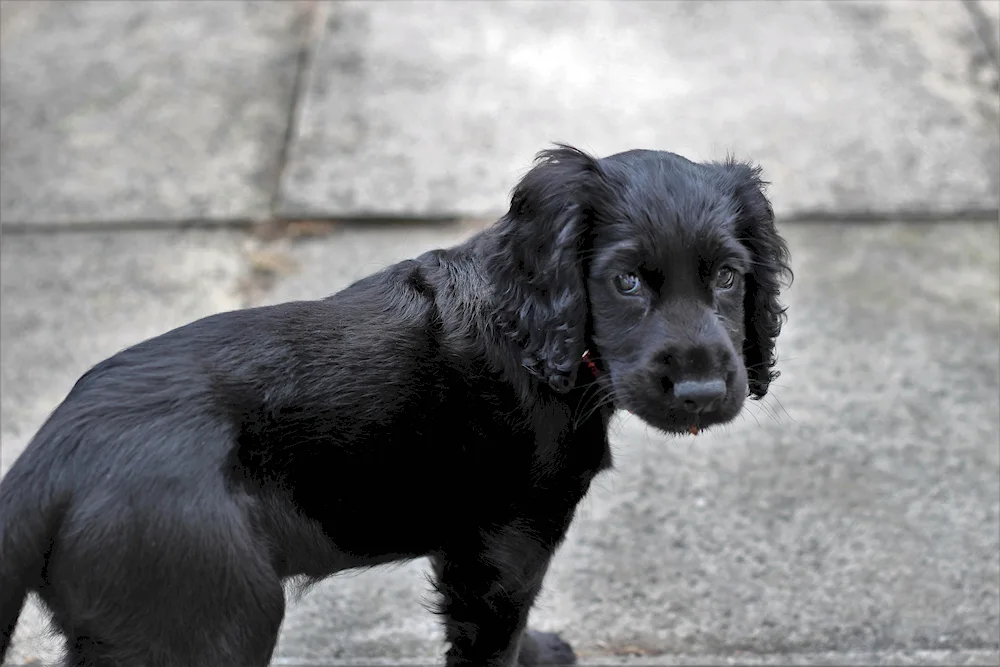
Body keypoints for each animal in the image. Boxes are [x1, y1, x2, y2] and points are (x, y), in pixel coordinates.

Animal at [3, 145, 792, 667]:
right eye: (626, 281)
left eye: (728, 277)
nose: (702, 392)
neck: (531, 332)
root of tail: (48, 460)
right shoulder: (506, 543)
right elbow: (494, 637)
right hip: (213, 614)